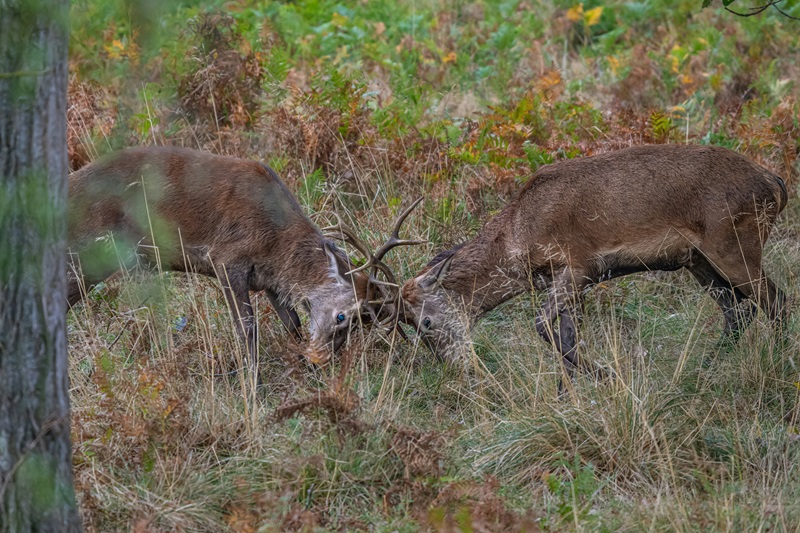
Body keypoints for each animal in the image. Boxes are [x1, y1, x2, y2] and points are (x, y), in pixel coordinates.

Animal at [67, 146, 420, 370]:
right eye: (343, 316)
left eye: (363, 323)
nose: (319, 360)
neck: (276, 243)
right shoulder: (226, 259)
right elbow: (247, 328)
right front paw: (252, 382)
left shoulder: (269, 281)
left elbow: (292, 322)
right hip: (86, 253)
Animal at [400, 144, 789, 385]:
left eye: (426, 322)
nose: (454, 367)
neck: (517, 238)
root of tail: (775, 182)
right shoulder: (568, 280)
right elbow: (567, 338)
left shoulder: (579, 265)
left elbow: (544, 327)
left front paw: (609, 376)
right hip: (697, 260)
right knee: (738, 311)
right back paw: (700, 369)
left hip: (734, 243)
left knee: (776, 301)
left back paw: (778, 364)